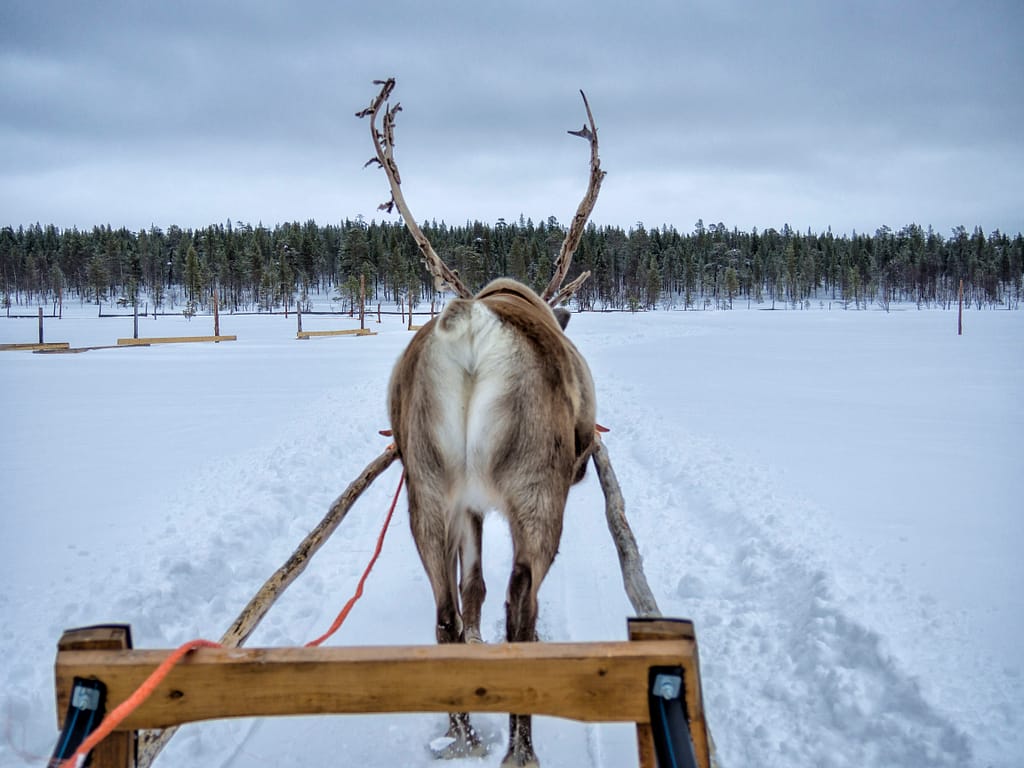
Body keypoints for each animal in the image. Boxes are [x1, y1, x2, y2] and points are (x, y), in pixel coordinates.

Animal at [358, 78, 605, 768]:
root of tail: (470, 327)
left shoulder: (466, 502)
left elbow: (472, 589)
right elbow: (500, 595)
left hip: (426, 489)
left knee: (444, 611)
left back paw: (461, 730)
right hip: (536, 491)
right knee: (523, 608)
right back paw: (519, 747)